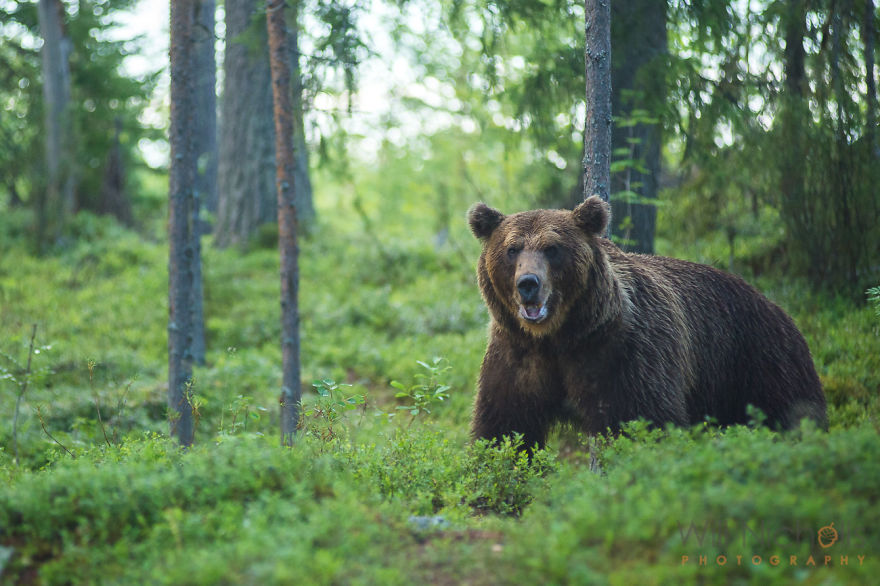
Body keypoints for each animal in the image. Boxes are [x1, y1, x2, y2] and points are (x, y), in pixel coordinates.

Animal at [467, 196, 827, 448]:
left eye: (552, 248)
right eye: (512, 249)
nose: (528, 283)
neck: (559, 336)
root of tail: (778, 306)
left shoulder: (625, 352)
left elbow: (642, 421)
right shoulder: (518, 355)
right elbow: (504, 427)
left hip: (759, 361)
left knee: (794, 413)